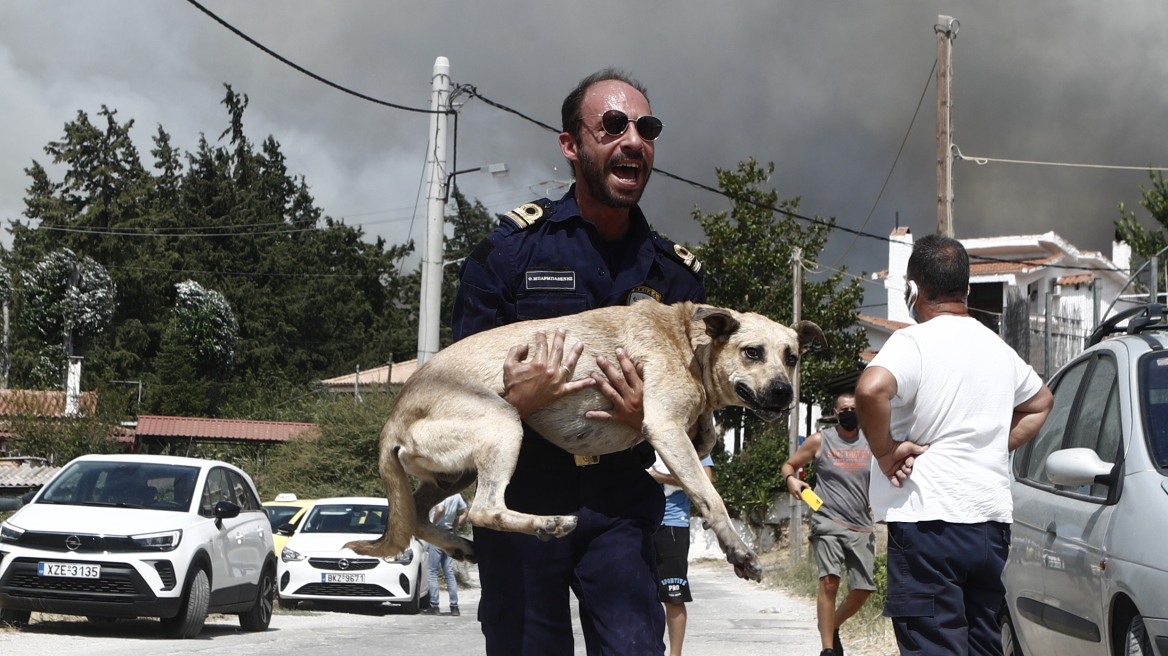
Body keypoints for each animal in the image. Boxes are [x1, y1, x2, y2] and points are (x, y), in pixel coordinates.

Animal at [341, 298, 826, 578]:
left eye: (792, 357)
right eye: (752, 352)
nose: (783, 393)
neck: (688, 340)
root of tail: (391, 419)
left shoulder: (685, 429)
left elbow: (704, 441)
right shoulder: (666, 428)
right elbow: (711, 497)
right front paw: (738, 551)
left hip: (454, 473)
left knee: (419, 515)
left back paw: (461, 545)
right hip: (502, 422)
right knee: (483, 510)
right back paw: (546, 524)